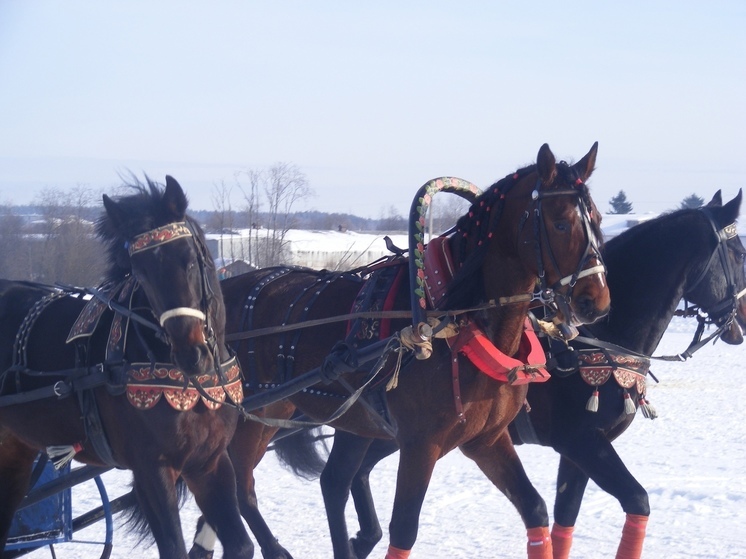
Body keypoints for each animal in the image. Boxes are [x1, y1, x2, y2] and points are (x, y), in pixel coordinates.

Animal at [0, 178, 253, 559]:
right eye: (142, 273)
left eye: (189, 260)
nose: (190, 353)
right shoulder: (152, 469)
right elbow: (174, 547)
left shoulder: (208, 463)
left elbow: (241, 544)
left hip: (14, 453)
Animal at [192, 143, 612, 559]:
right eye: (560, 223)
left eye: (598, 219)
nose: (596, 301)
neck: (458, 322)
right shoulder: (419, 445)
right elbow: (405, 529)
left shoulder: (487, 441)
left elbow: (535, 509)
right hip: (253, 418)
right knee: (243, 489)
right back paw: (273, 549)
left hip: (314, 417)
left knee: (321, 484)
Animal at [274, 189, 744, 559]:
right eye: (740, 254)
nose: (740, 321)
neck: (593, 339)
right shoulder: (580, 441)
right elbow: (638, 500)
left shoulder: (580, 450)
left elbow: (565, 519)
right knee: (337, 479)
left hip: (383, 432)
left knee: (351, 476)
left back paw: (361, 537)